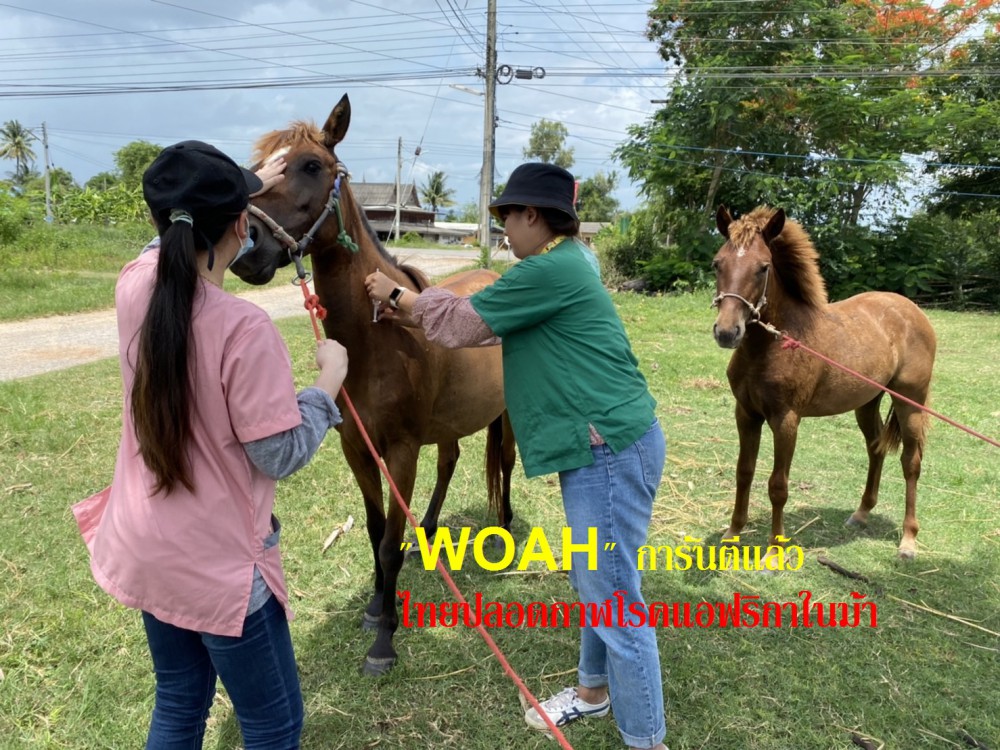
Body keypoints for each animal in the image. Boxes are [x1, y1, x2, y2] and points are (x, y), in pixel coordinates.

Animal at [231, 94, 516, 675]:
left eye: (311, 166)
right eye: (259, 164)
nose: (249, 251)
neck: (377, 339)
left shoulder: (401, 450)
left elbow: (388, 542)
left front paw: (384, 639)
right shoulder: (356, 447)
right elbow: (374, 527)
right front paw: (374, 605)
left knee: (507, 463)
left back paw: (505, 528)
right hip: (448, 422)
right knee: (450, 461)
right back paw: (428, 530)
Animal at [711, 205, 937, 560]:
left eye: (763, 268)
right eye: (717, 263)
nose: (726, 332)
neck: (777, 343)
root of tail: (913, 310)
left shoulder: (786, 420)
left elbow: (778, 485)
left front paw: (774, 549)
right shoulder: (746, 413)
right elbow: (743, 472)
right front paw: (733, 534)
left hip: (909, 402)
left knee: (911, 463)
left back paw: (908, 540)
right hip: (867, 402)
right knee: (875, 448)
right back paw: (861, 513)